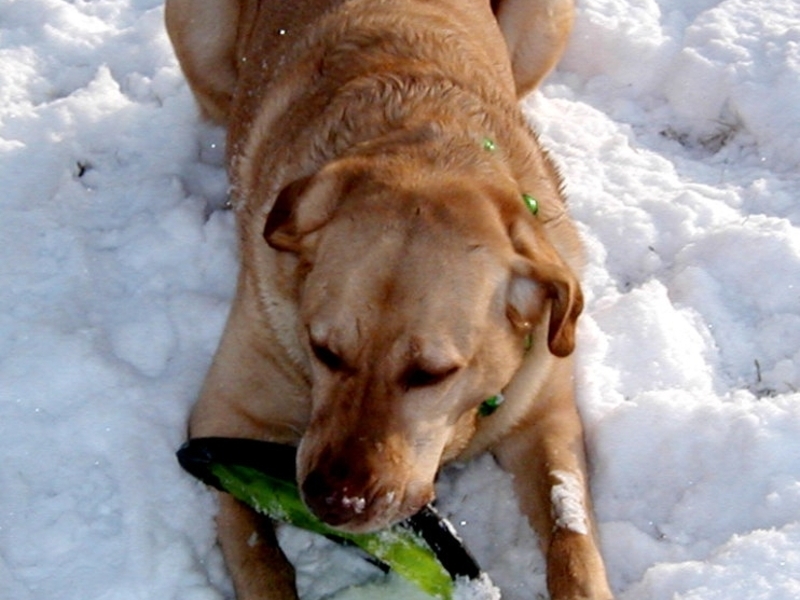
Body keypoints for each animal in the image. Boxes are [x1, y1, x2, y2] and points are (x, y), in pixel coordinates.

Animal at [164, 1, 612, 600]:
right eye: (324, 351)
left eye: (431, 374)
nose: (335, 501)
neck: (422, 136)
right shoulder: (225, 415)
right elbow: (261, 559)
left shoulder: (548, 418)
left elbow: (572, 535)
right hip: (197, 28)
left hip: (546, 24)